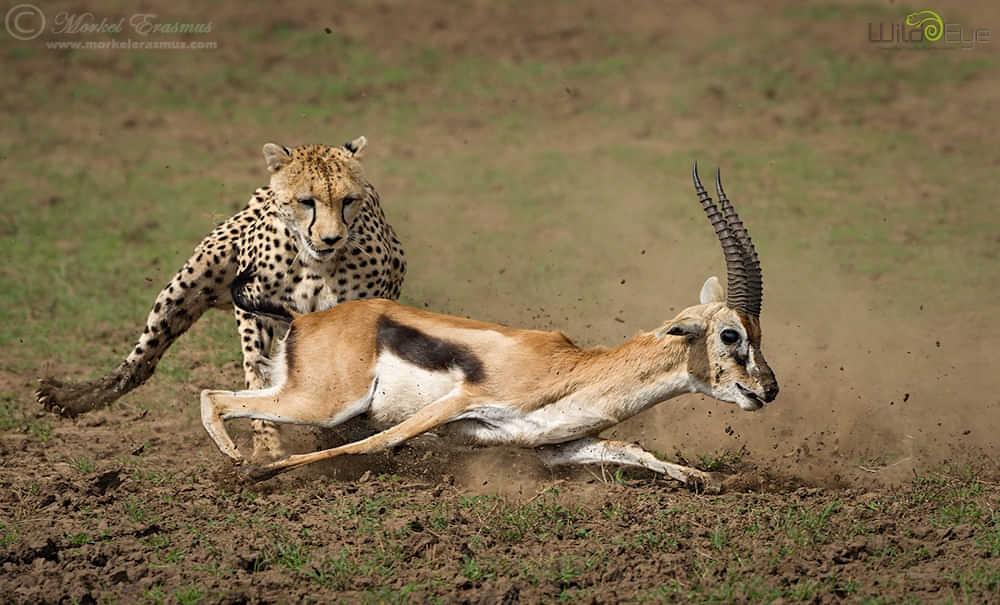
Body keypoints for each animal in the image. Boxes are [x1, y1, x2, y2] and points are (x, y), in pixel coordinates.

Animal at [36, 136, 406, 458]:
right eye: (306, 201)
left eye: (348, 200)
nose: (331, 238)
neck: (314, 262)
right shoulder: (253, 306)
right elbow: (257, 374)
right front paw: (267, 447)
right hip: (189, 284)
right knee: (141, 363)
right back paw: (70, 397)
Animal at [201, 165, 779, 489]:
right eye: (731, 335)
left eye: (760, 335)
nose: (768, 390)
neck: (575, 370)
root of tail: (307, 318)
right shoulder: (459, 403)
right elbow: (378, 442)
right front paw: (257, 476)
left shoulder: (555, 445)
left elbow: (632, 450)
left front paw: (707, 480)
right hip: (326, 404)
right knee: (214, 397)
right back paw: (240, 465)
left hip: (301, 393)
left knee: (223, 397)